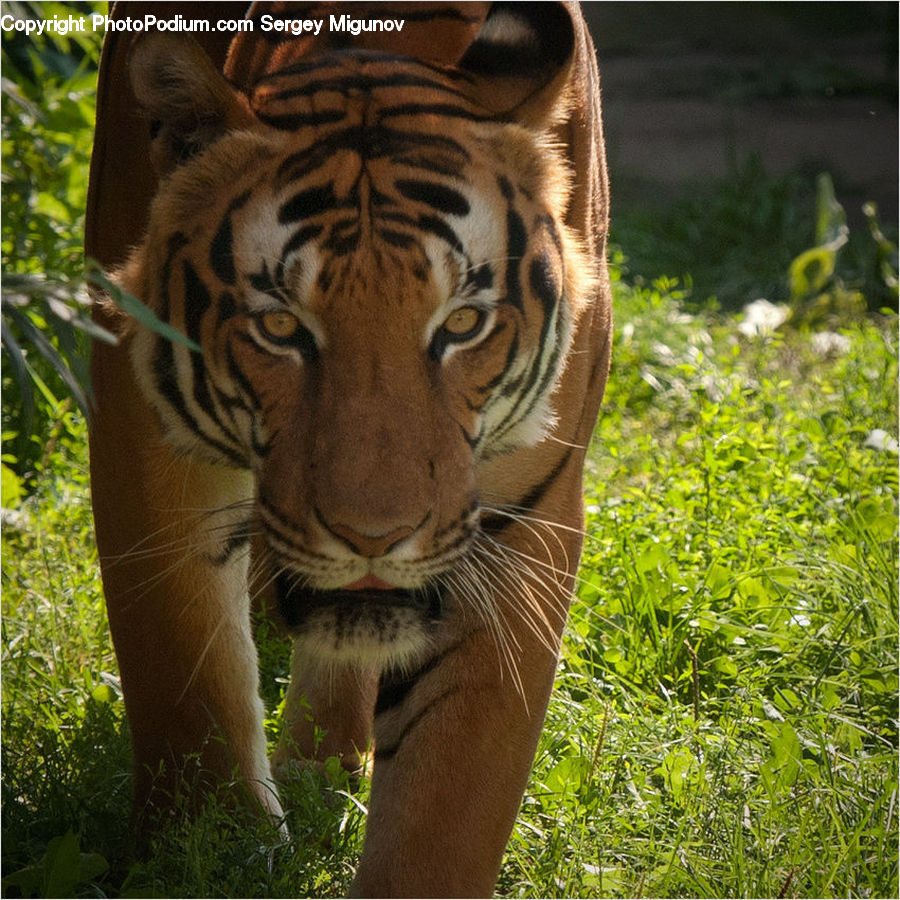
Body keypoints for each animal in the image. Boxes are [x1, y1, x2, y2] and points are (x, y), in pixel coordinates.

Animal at [86, 1, 611, 895]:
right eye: (279, 326)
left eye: (462, 324)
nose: (374, 538)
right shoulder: (139, 423)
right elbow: (184, 674)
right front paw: (207, 848)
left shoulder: (519, 521)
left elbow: (449, 802)